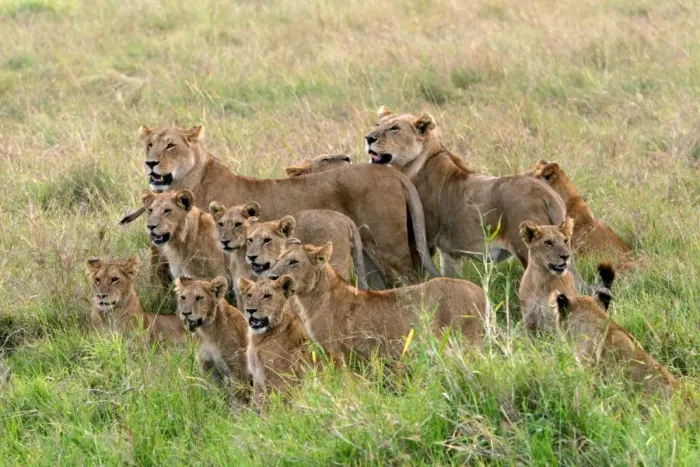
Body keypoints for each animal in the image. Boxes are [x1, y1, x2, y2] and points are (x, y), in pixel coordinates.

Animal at [123, 124, 439, 284]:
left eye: (170, 145)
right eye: (149, 145)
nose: (150, 163)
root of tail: (393, 173)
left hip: (391, 250)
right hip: (368, 255)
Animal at [238, 276, 310, 407]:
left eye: (267, 296)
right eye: (249, 295)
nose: (250, 310)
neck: (259, 339)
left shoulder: (280, 381)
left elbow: (274, 407)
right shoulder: (258, 379)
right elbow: (256, 404)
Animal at [267, 240, 486, 365]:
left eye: (293, 262)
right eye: (278, 259)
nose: (271, 277)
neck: (309, 300)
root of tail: (481, 293)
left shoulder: (338, 352)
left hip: (468, 342)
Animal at [364, 107, 567, 278]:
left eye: (394, 128)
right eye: (377, 125)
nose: (368, 138)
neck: (411, 167)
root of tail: (548, 194)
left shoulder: (423, 241)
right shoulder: (449, 252)